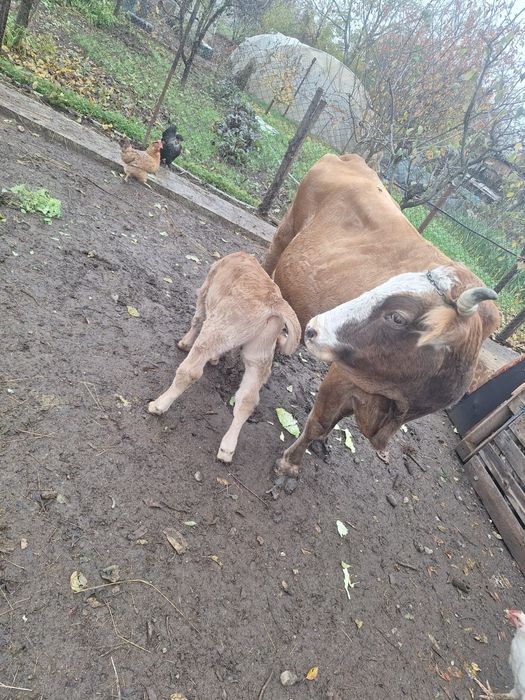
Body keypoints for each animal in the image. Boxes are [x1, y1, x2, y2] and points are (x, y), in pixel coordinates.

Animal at [148, 252, 301, 464]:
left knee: (191, 371)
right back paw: (227, 449)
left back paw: (159, 405)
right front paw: (215, 359)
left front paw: (184, 343)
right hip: (258, 357)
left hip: (216, 329)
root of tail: (274, 301)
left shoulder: (205, 289)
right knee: (247, 399)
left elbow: (197, 317)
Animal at [262, 154, 500, 486]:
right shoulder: (343, 375)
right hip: (285, 230)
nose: (313, 329)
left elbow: (331, 424)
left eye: (398, 318)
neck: (399, 404)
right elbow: (319, 422)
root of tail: (350, 158)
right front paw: (290, 464)